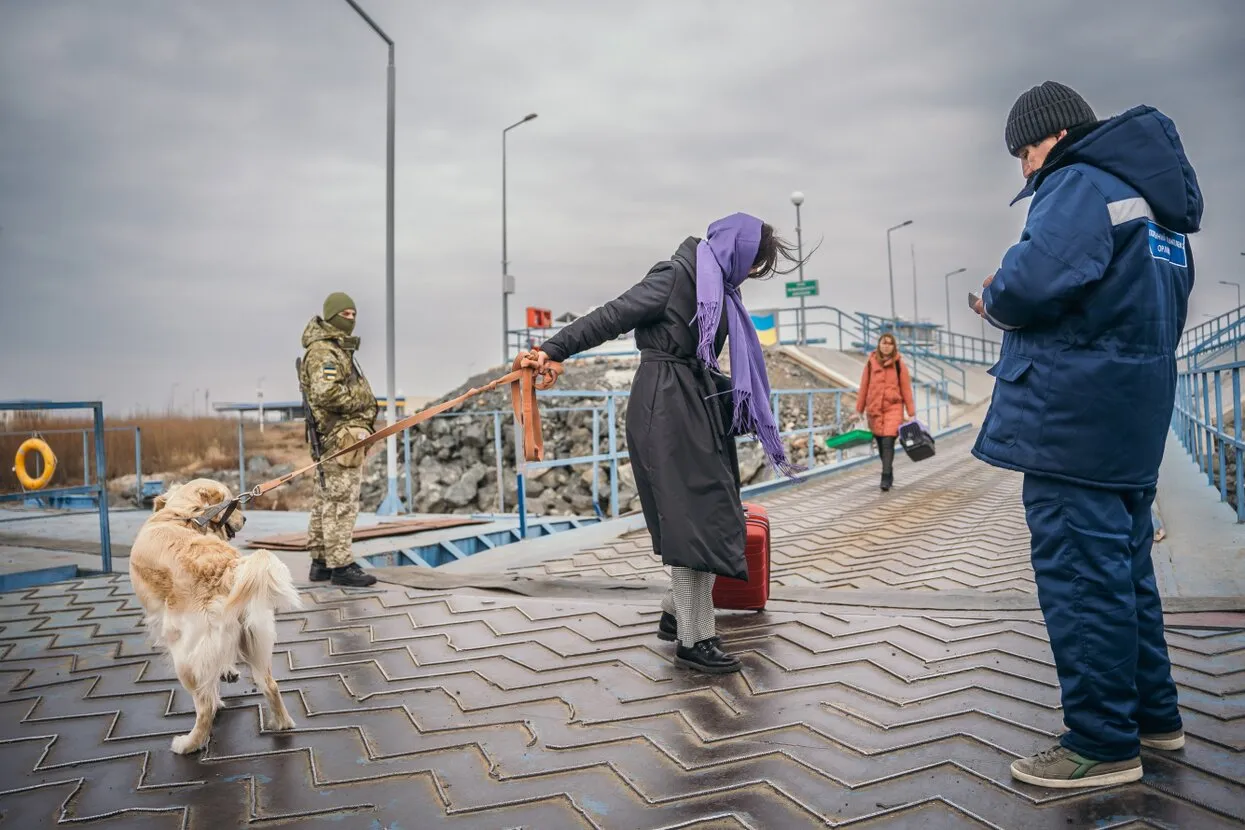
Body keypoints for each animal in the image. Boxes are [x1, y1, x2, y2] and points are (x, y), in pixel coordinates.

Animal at [128, 477, 301, 756]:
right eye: (232, 502)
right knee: (270, 685)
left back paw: (188, 744)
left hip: (183, 655)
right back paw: (282, 723)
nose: (245, 519)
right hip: (254, 639)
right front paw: (228, 671)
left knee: (206, 703)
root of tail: (228, 569)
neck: (185, 514)